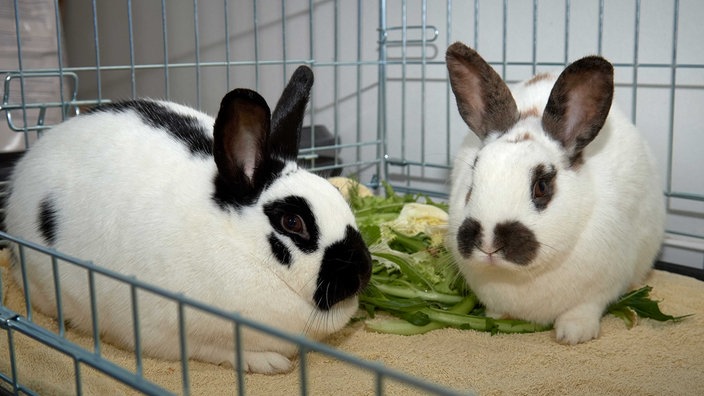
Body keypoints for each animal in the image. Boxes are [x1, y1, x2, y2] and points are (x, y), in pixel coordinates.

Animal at [5, 66, 372, 372]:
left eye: (338, 194)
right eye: (292, 223)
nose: (362, 272)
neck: (238, 243)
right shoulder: (167, 333)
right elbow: (218, 350)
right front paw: (269, 362)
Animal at [446, 41, 664, 344]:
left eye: (541, 186)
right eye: (473, 178)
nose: (488, 243)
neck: (520, 277)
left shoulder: (599, 289)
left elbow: (585, 309)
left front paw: (573, 334)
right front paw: (496, 317)